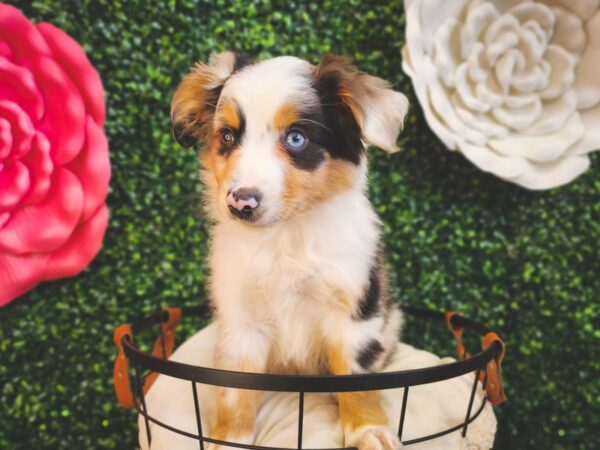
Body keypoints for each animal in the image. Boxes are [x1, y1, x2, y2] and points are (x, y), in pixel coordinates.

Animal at [171, 52, 410, 450]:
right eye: (227, 136)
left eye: (296, 138)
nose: (240, 203)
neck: (286, 235)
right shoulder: (241, 320)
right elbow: (235, 392)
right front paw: (230, 438)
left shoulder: (353, 311)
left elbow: (358, 380)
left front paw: (368, 431)